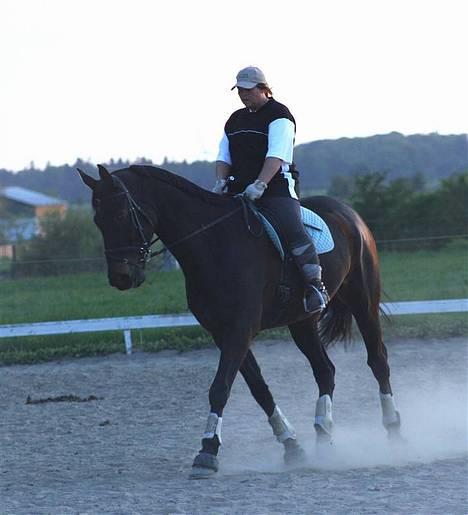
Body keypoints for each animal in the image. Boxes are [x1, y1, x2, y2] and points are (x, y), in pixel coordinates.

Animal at [77, 165, 402, 480]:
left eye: (121, 215)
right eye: (97, 220)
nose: (121, 278)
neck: (212, 243)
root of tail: (348, 213)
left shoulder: (240, 330)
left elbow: (220, 387)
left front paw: (207, 452)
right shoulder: (222, 332)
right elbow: (259, 388)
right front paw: (291, 446)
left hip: (363, 302)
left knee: (378, 360)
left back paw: (394, 431)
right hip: (302, 322)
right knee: (325, 371)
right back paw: (323, 438)